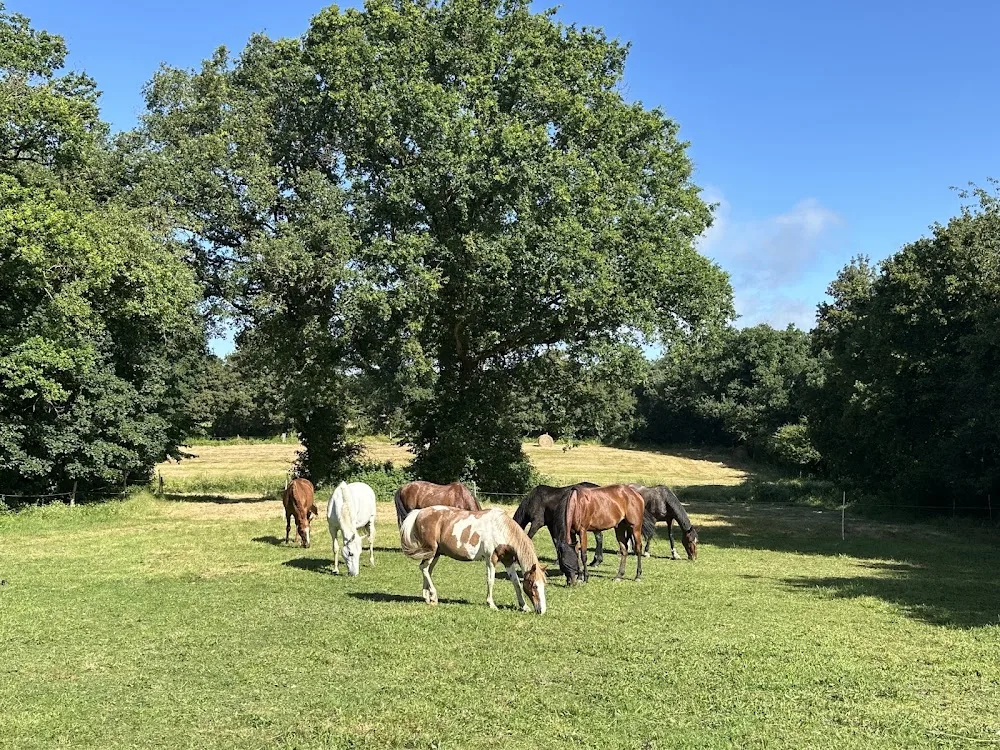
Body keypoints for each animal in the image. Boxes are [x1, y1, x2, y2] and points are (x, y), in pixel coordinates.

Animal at [399, 505, 547, 614]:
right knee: (424, 568)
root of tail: (420, 512)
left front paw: (524, 606)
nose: (542, 610)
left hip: (436, 554)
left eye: (544, 585)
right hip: (431, 551)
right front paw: (491, 604)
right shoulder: (490, 559)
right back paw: (434, 596)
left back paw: (427, 597)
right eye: (534, 585)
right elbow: (490, 580)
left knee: (427, 570)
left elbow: (516, 582)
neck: (501, 528)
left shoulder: (508, 561)